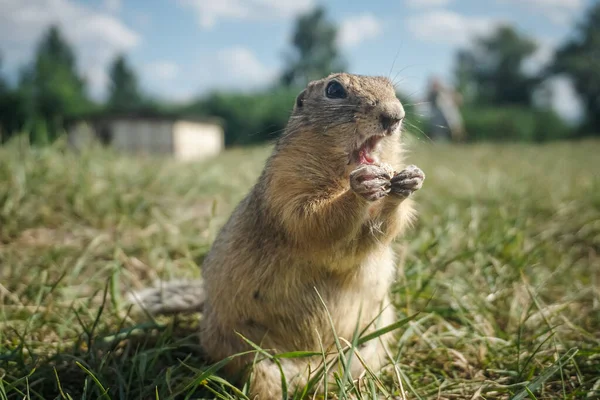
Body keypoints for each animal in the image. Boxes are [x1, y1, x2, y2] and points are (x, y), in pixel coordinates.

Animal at [129, 72, 424, 396]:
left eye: (391, 87)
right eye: (334, 89)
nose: (395, 116)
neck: (340, 171)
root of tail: (311, 373)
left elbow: (380, 231)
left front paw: (408, 181)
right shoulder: (286, 184)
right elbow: (314, 220)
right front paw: (361, 186)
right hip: (256, 361)